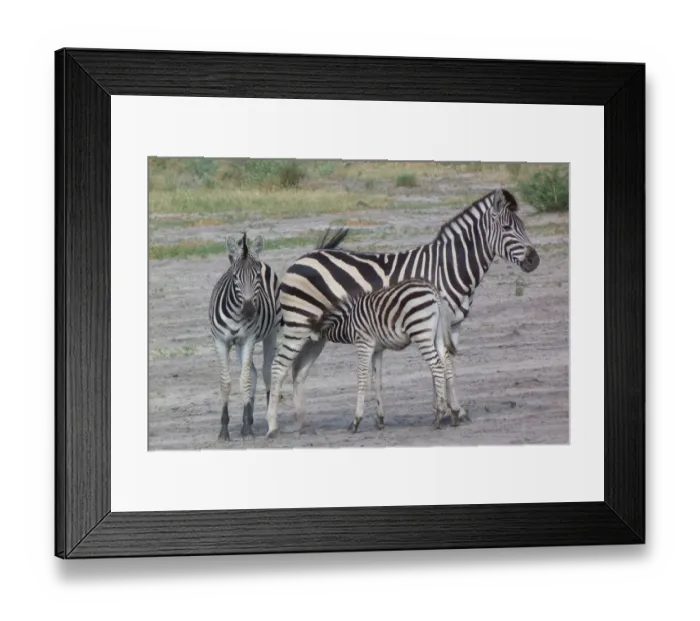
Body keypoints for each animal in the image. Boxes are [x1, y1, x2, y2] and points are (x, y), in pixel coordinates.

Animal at [307, 278, 458, 432]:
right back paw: (454, 413)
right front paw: (380, 419)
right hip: (437, 334)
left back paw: (440, 414)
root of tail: (432, 290)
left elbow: (362, 379)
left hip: (421, 332)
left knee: (437, 366)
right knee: (446, 364)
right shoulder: (377, 350)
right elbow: (377, 381)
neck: (348, 324)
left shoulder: (364, 344)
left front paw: (356, 421)